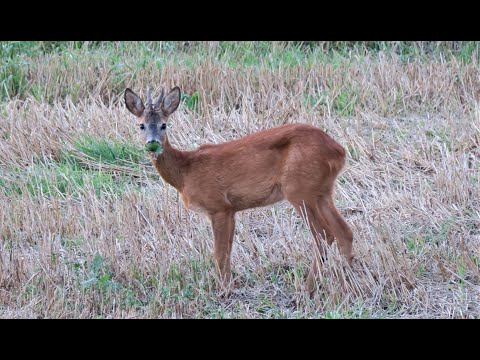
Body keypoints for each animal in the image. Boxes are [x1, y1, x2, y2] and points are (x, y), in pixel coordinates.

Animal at [125, 85, 354, 292]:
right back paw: (347, 282)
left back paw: (308, 288)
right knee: (344, 231)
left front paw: (223, 290)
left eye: (164, 125)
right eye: (141, 126)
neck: (185, 172)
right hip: (322, 191)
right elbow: (228, 250)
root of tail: (339, 151)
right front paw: (229, 284)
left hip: (299, 189)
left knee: (323, 234)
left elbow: (219, 253)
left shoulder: (219, 206)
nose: (153, 144)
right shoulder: (232, 210)